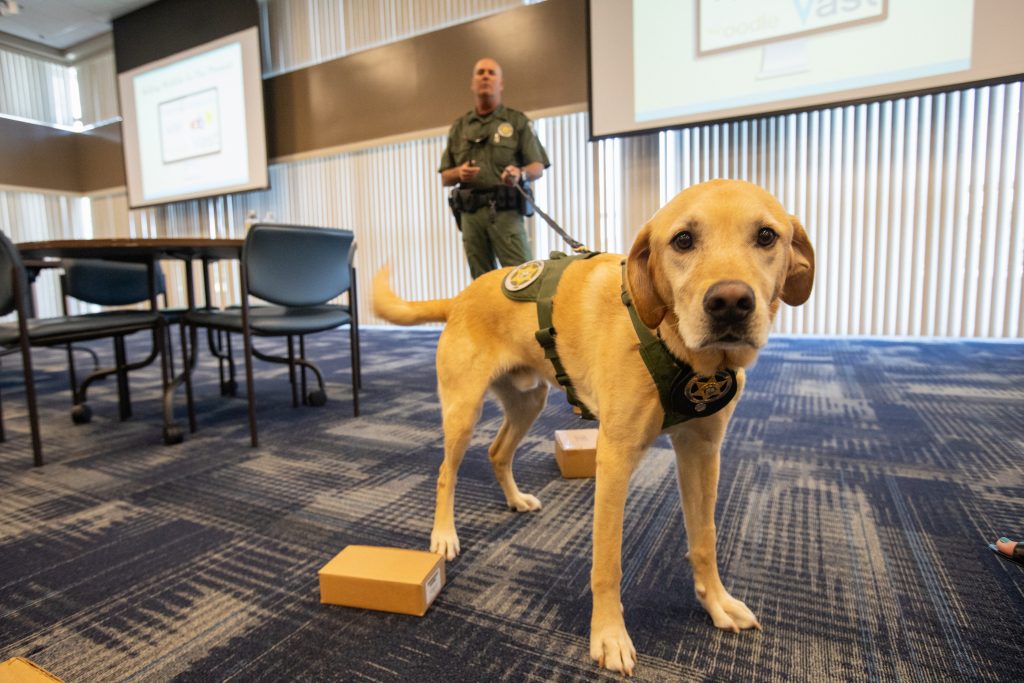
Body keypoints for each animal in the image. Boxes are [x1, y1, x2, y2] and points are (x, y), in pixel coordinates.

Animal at [372, 179, 811, 675]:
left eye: (766, 236)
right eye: (683, 240)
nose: (731, 303)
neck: (672, 341)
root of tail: (462, 295)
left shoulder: (702, 450)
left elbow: (705, 538)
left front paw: (715, 602)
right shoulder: (615, 458)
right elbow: (608, 563)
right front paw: (608, 636)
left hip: (528, 401)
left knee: (497, 452)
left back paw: (514, 499)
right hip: (463, 409)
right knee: (447, 472)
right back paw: (444, 536)